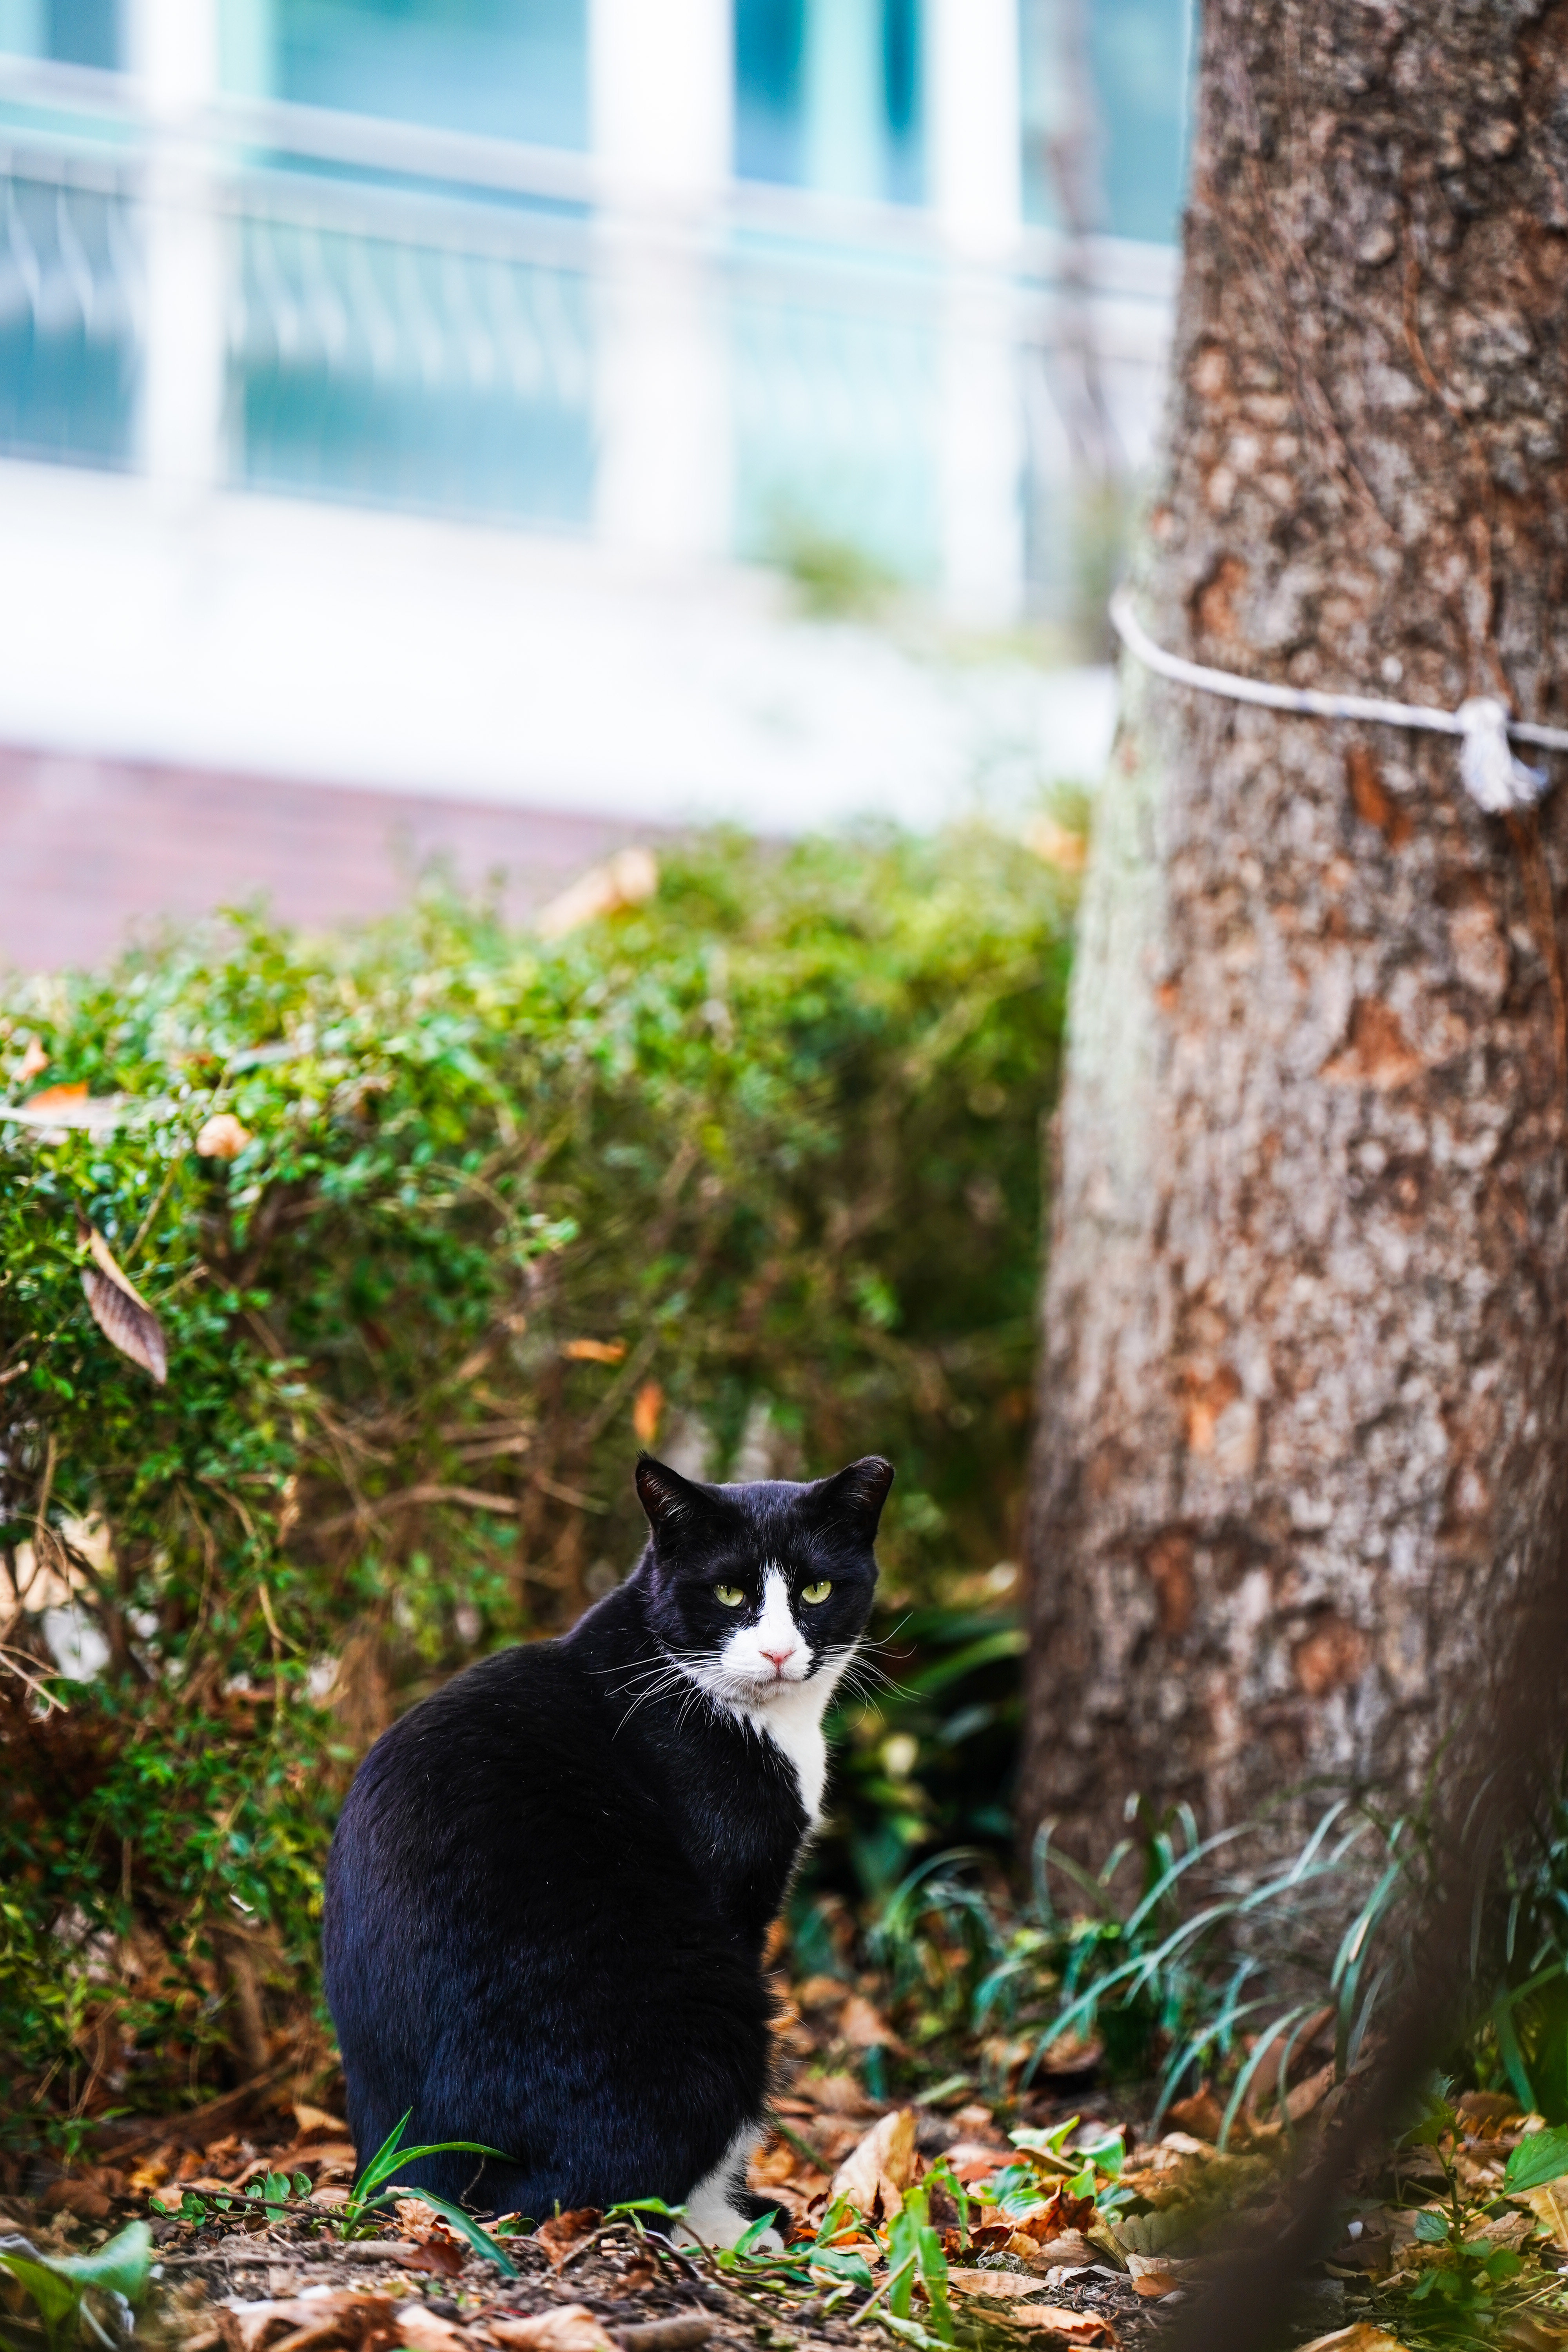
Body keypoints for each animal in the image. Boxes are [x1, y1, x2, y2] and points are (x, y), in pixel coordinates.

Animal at [322, 1449, 893, 2244]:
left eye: (816, 1589)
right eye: (729, 1592)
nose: (779, 1651)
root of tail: (410, 2183)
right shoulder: (733, 1895)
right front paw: (725, 2219)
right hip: (710, 2008)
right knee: (586, 2189)